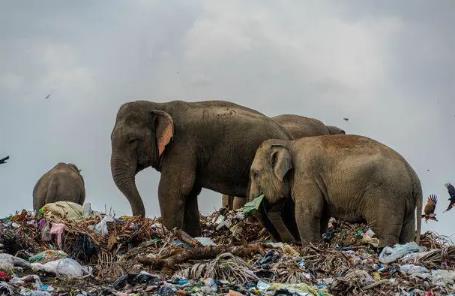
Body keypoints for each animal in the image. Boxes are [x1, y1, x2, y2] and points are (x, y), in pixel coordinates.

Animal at [109, 100, 292, 237]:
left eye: (132, 140)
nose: (135, 223)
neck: (159, 105)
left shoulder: (182, 145)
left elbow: (172, 190)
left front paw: (171, 235)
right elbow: (190, 192)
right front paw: (193, 236)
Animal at [249, 135, 424, 246]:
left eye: (255, 173)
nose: (292, 242)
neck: (289, 143)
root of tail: (414, 176)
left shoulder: (306, 175)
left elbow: (308, 212)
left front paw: (311, 247)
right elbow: (322, 215)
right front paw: (318, 244)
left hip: (388, 198)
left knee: (385, 232)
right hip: (404, 200)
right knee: (406, 232)